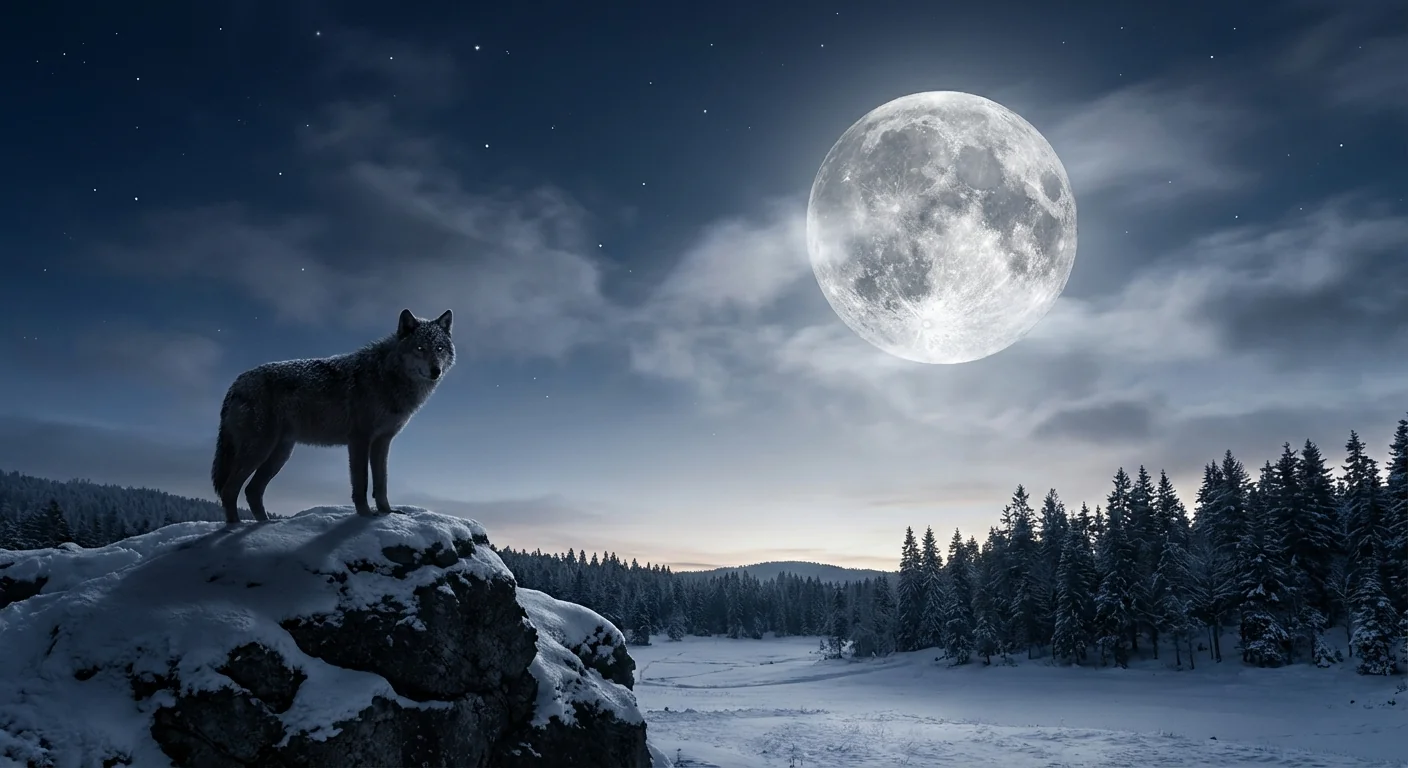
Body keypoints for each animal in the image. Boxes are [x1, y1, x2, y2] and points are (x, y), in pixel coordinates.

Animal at [211, 308, 456, 524]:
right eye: (420, 347)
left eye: (439, 348)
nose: (436, 371)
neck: (387, 377)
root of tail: (236, 383)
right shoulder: (359, 440)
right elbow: (361, 483)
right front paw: (366, 516)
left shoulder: (382, 441)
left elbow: (381, 482)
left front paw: (387, 513)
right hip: (259, 450)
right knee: (229, 490)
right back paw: (234, 529)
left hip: (279, 453)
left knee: (252, 491)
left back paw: (266, 525)